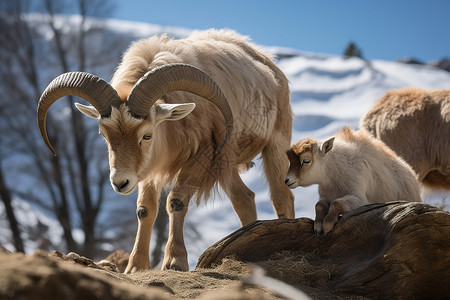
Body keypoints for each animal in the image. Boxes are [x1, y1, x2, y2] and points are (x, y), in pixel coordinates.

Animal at [36, 29, 296, 272]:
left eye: (147, 135)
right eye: (104, 135)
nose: (120, 183)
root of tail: (270, 65)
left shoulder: (203, 156)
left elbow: (176, 201)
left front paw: (174, 261)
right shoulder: (147, 170)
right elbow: (145, 210)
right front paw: (136, 266)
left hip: (275, 145)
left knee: (282, 197)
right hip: (227, 161)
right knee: (244, 198)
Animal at [284, 126, 422, 234]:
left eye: (306, 160)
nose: (287, 180)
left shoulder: (360, 199)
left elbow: (337, 203)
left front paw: (327, 226)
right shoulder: (325, 196)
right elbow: (319, 205)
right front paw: (318, 226)